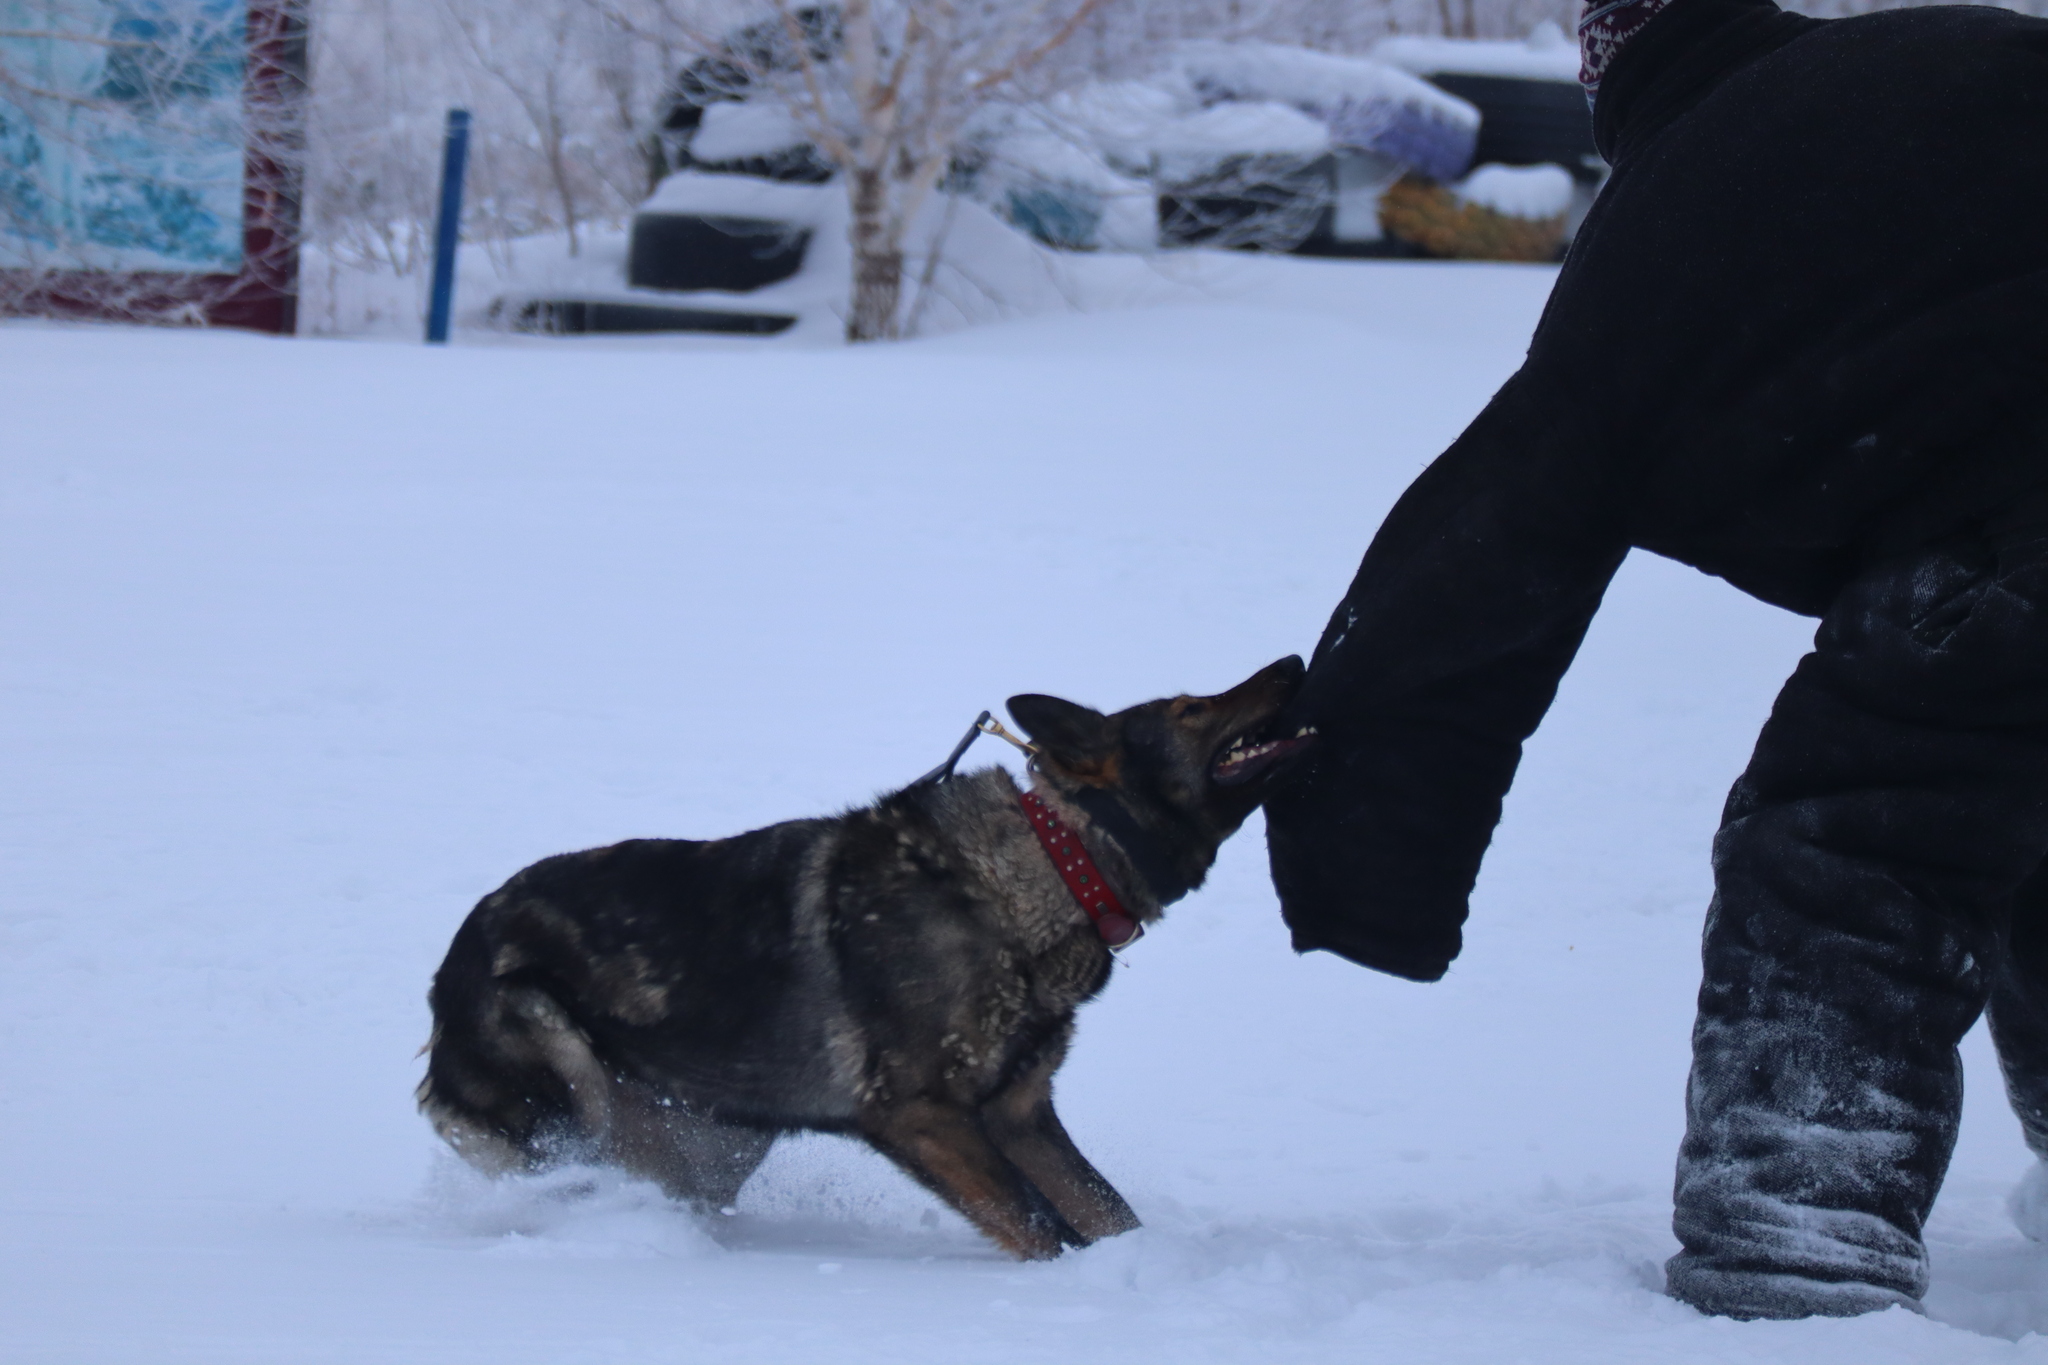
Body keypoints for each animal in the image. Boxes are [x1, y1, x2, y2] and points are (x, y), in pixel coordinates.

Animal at [415, 658, 1310, 1260]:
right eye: (1192, 708)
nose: (1295, 663)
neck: (1056, 862)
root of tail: (446, 967)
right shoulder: (921, 1116)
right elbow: (1043, 1228)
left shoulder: (1020, 1114)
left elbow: (1107, 1215)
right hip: (559, 1059)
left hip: (723, 1134)